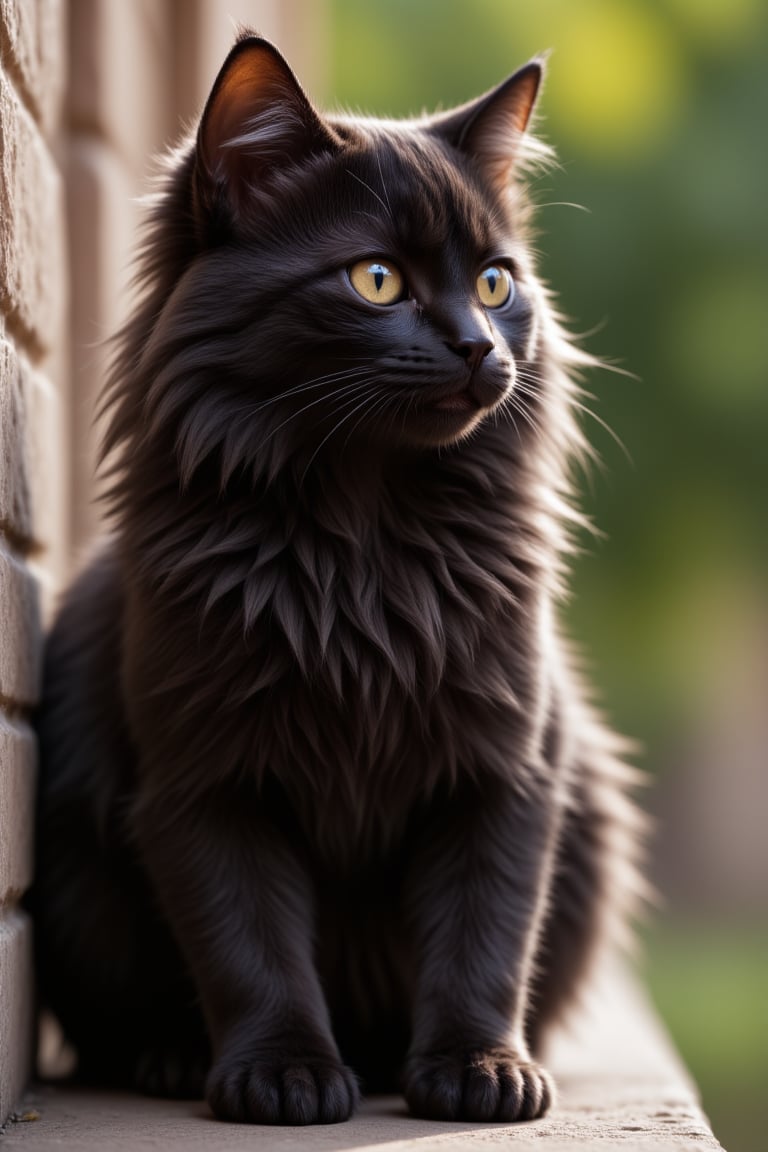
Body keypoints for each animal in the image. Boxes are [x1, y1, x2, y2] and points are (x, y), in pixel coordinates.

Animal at [35, 33, 644, 1124]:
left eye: (497, 284)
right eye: (376, 280)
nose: (478, 346)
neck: (364, 546)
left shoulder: (504, 776)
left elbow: (486, 932)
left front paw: (481, 1070)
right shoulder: (204, 786)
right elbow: (250, 944)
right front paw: (284, 1075)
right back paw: (173, 1059)